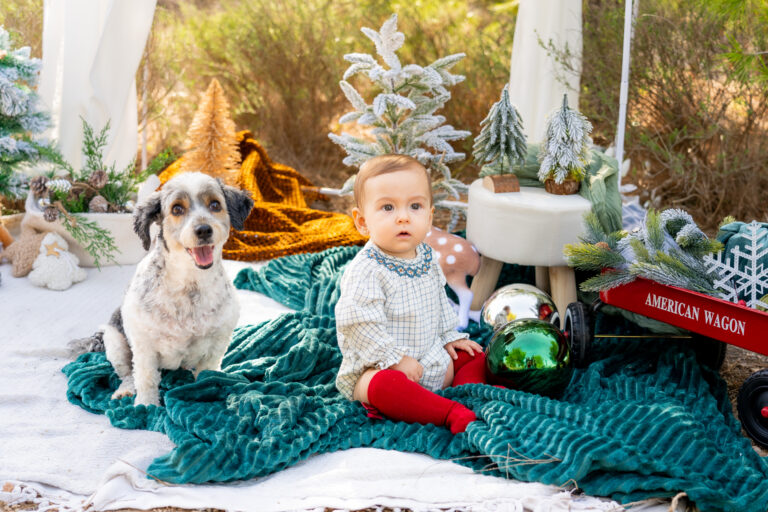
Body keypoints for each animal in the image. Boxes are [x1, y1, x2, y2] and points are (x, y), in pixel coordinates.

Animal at [103, 174, 254, 406]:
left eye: (215, 205)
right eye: (177, 209)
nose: (203, 229)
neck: (189, 285)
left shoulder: (217, 344)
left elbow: (206, 375)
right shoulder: (144, 346)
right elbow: (145, 378)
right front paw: (145, 406)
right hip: (115, 343)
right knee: (128, 373)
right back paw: (125, 390)